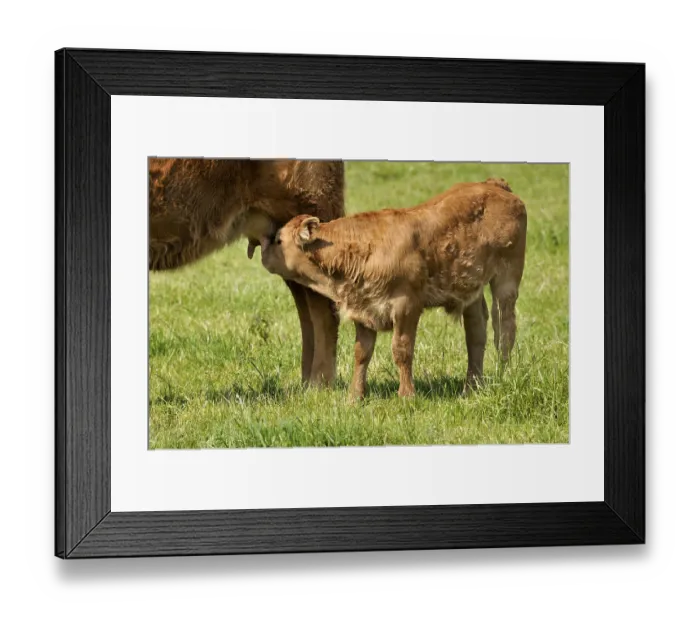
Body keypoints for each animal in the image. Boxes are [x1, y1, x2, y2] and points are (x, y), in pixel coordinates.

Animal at [257, 178, 527, 400]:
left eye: (279, 239)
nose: (263, 253)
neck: (366, 249)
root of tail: (495, 185)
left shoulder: (407, 306)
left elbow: (402, 350)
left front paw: (406, 395)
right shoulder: (364, 309)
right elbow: (361, 354)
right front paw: (354, 397)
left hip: (507, 280)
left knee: (504, 331)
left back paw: (501, 376)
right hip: (471, 289)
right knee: (476, 333)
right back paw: (471, 387)